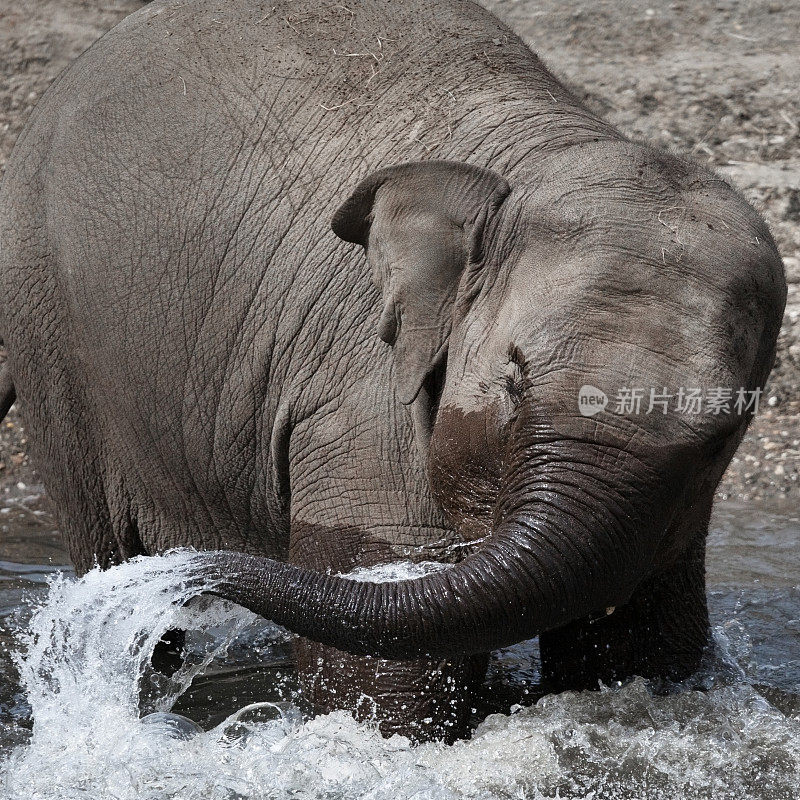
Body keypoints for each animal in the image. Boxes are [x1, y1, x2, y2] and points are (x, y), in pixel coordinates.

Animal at [0, 0, 788, 744]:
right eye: (513, 381)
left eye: (721, 437)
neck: (542, 157)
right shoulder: (367, 391)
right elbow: (392, 669)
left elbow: (640, 646)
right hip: (52, 330)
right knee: (106, 535)